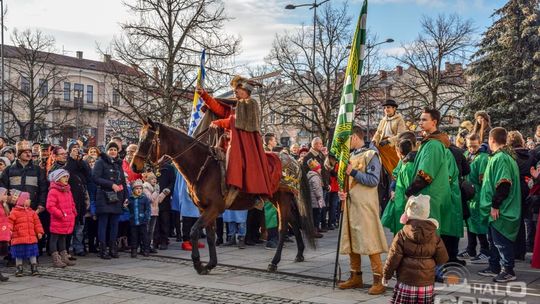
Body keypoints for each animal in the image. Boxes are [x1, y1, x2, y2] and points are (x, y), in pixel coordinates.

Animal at [131, 119, 316, 276]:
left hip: (283, 198)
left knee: (284, 227)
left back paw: (275, 262)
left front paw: (198, 264)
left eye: (147, 139)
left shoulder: (214, 207)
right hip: (275, 199)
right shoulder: (204, 208)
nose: (134, 166)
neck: (203, 167)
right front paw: (210, 264)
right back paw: (299, 253)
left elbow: (194, 231)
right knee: (293, 222)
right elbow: (210, 235)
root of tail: (293, 161)